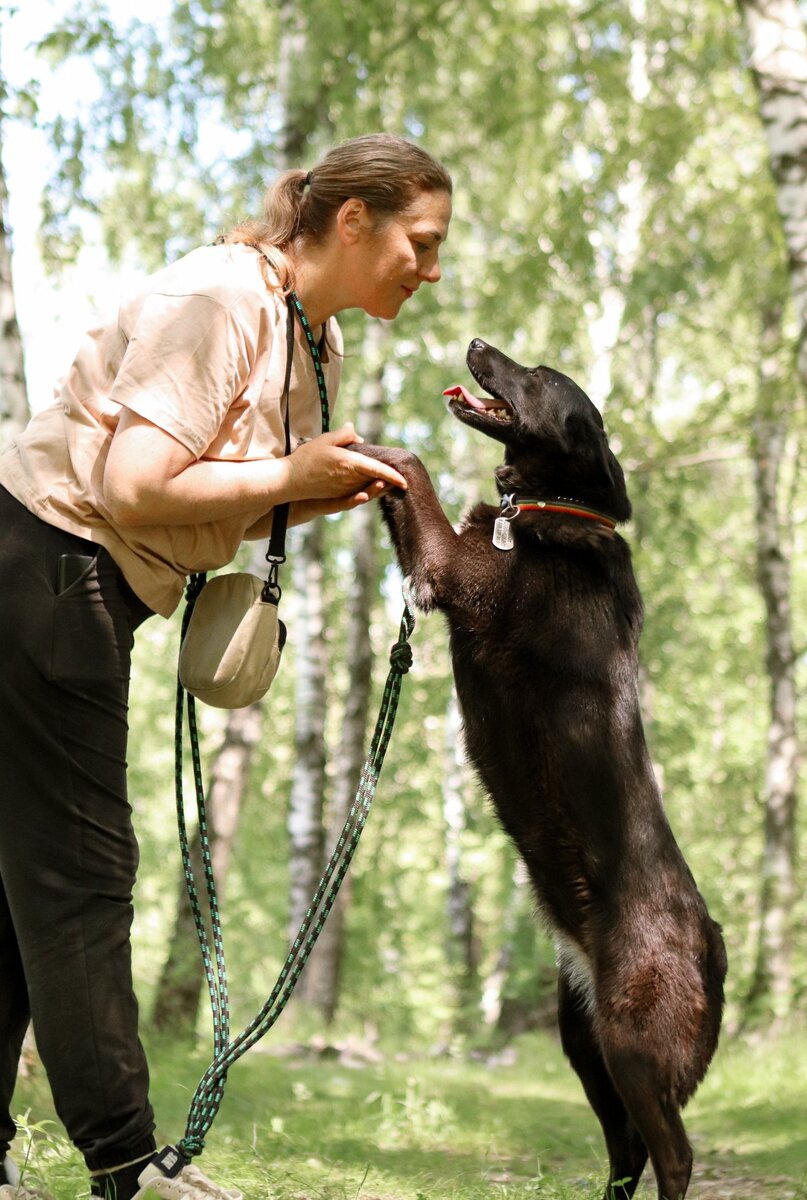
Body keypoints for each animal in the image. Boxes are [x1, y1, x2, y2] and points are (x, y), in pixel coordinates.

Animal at [355, 340, 730, 1200]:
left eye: (532, 377)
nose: (476, 345)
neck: (550, 509)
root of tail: (714, 944)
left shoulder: (453, 572)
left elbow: (412, 466)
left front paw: (355, 444)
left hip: (631, 1047)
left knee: (673, 1154)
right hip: (581, 1042)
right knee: (626, 1152)